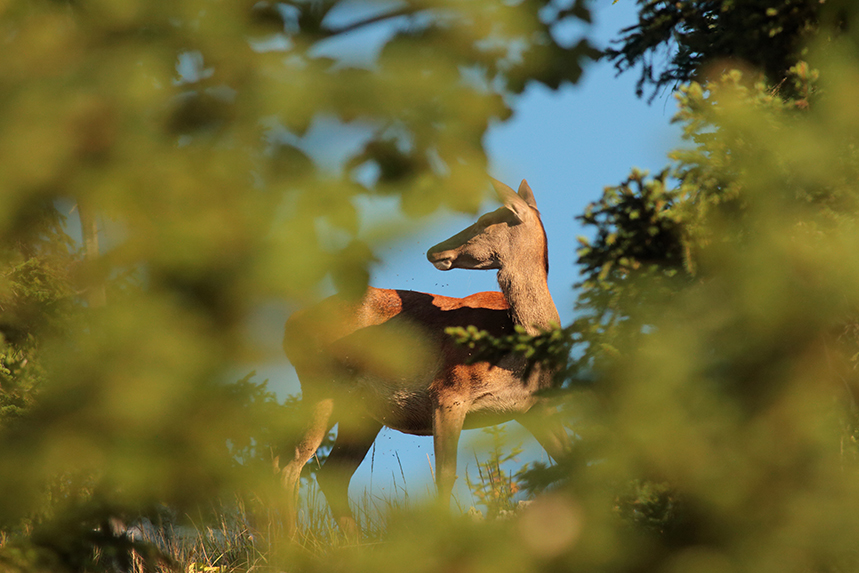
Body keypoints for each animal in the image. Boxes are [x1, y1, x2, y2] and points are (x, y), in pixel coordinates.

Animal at [278, 177, 572, 536]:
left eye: (486, 219)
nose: (435, 250)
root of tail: (291, 325)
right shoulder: (448, 390)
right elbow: (446, 475)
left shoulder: (534, 407)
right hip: (321, 385)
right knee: (291, 462)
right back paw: (288, 541)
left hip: (362, 414)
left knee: (330, 471)